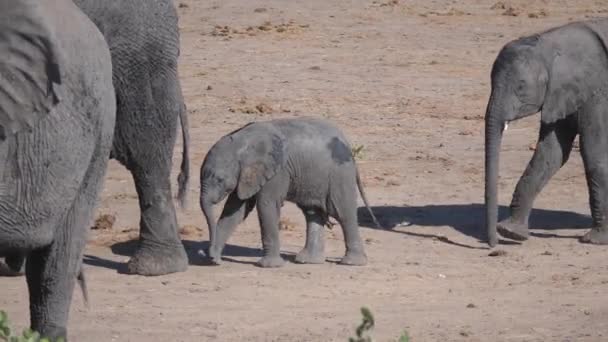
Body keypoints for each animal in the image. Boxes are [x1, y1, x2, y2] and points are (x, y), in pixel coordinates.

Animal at [200, 117, 380, 268]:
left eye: (220, 179)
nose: (205, 253)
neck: (241, 142)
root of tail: (348, 144)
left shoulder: (278, 170)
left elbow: (266, 205)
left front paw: (269, 266)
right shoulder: (247, 176)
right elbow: (234, 210)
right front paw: (214, 259)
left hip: (339, 173)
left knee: (342, 212)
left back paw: (351, 263)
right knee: (312, 213)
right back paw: (308, 261)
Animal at [484, 19, 608, 246]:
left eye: (521, 87)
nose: (493, 246)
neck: (550, 46)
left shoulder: (598, 91)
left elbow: (595, 154)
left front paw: (595, 240)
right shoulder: (560, 94)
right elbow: (550, 154)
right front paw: (511, 232)